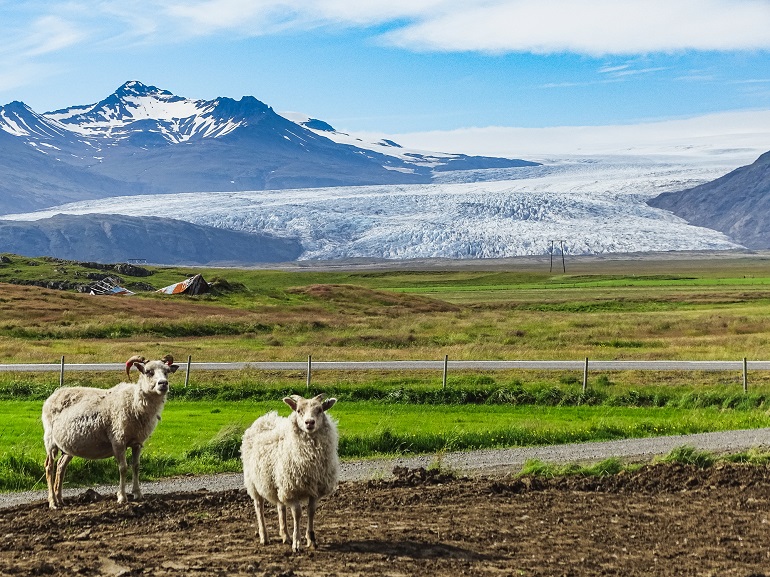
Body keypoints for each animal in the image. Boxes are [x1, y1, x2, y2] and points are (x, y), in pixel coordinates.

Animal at [42, 355, 179, 509]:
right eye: (148, 372)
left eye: (167, 372)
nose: (163, 384)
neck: (134, 401)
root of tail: (54, 394)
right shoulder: (118, 440)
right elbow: (123, 468)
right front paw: (122, 497)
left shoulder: (137, 442)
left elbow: (136, 466)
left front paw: (138, 494)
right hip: (50, 440)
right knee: (49, 467)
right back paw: (52, 502)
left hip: (67, 446)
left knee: (61, 467)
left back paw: (60, 500)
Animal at [241, 393, 339, 552]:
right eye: (298, 410)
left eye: (320, 410)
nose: (309, 423)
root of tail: (265, 418)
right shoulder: (292, 489)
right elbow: (297, 513)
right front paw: (297, 543)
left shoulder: (315, 489)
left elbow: (311, 511)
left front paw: (311, 540)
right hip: (254, 482)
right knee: (258, 506)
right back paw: (264, 537)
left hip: (279, 482)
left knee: (281, 507)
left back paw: (285, 536)